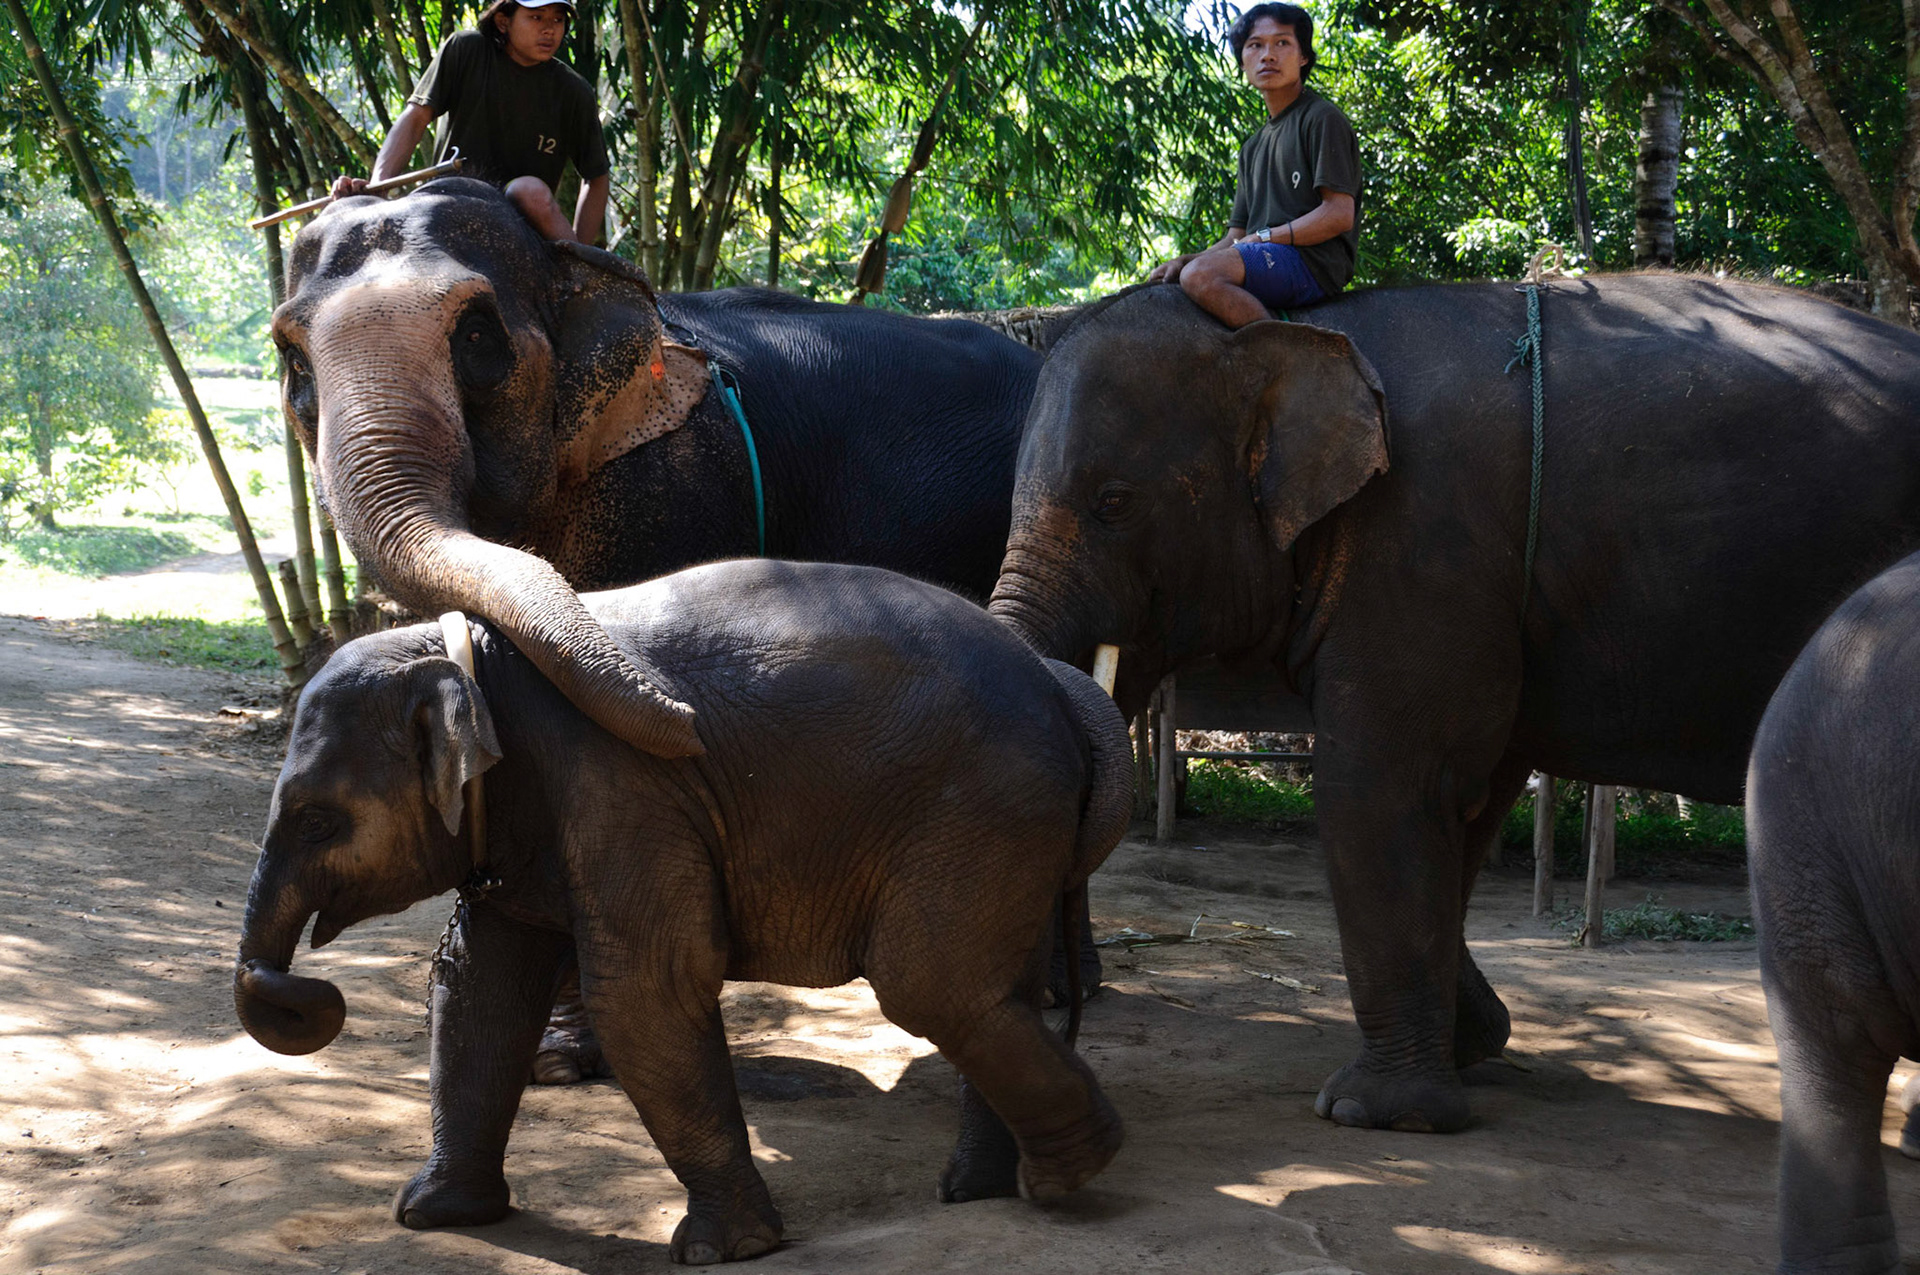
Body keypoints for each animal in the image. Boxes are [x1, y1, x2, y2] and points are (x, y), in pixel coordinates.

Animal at [232, 559, 1134, 1263]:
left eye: (316, 821)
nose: (315, 993)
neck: (477, 664)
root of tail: (1063, 690)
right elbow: (478, 984)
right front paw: (432, 1215)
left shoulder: (621, 784)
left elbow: (645, 993)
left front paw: (726, 1251)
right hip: (1009, 827)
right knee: (991, 989)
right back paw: (984, 1189)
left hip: (982, 809)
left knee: (932, 984)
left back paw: (1070, 1173)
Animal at [987, 276, 1920, 1135]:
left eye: (1114, 502)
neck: (1302, 334)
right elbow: (1464, 805)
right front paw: (1474, 1043)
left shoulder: (1422, 545)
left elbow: (1379, 788)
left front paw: (1372, 1112)